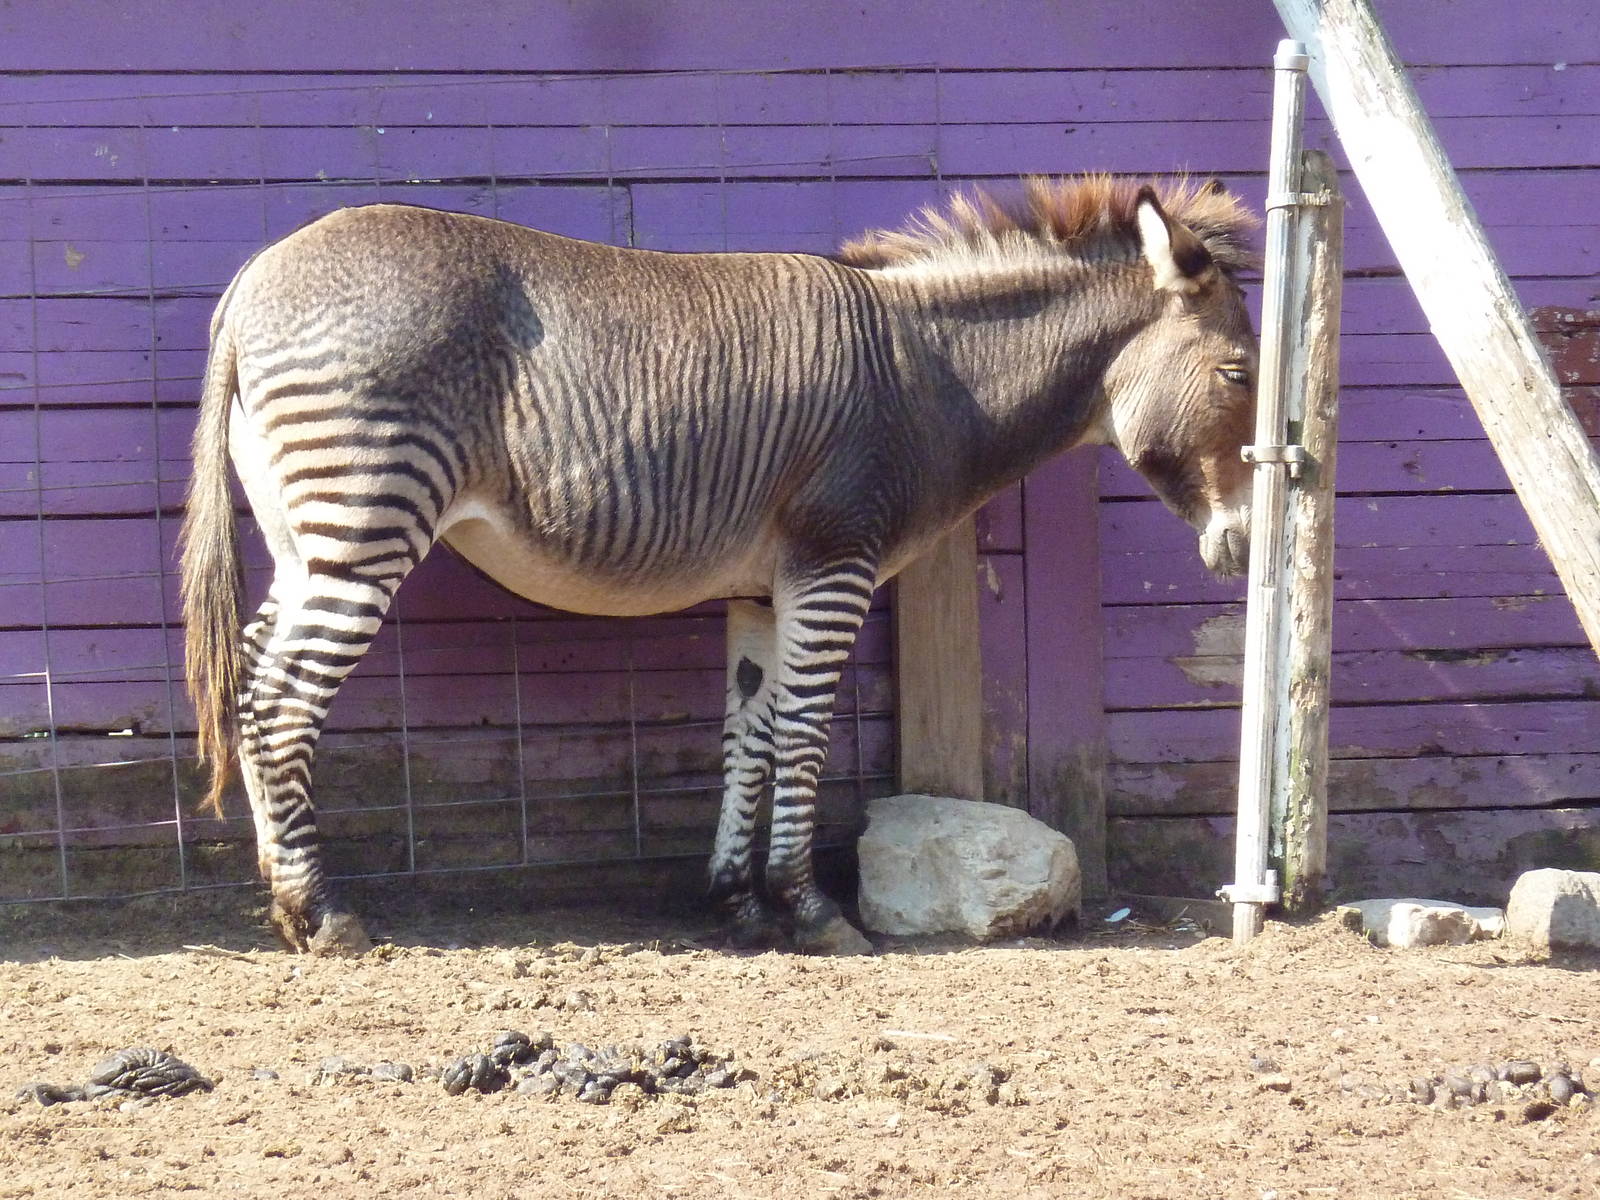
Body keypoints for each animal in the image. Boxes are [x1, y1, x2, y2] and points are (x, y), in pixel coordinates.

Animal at [181, 175, 1258, 956]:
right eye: (1240, 373)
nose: (1246, 547)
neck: (928, 376)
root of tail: (252, 283)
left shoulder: (759, 591)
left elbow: (750, 733)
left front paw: (739, 905)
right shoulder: (833, 566)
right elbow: (805, 734)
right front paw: (812, 911)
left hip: (306, 533)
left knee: (249, 678)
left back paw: (283, 895)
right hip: (365, 513)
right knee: (283, 700)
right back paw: (321, 914)